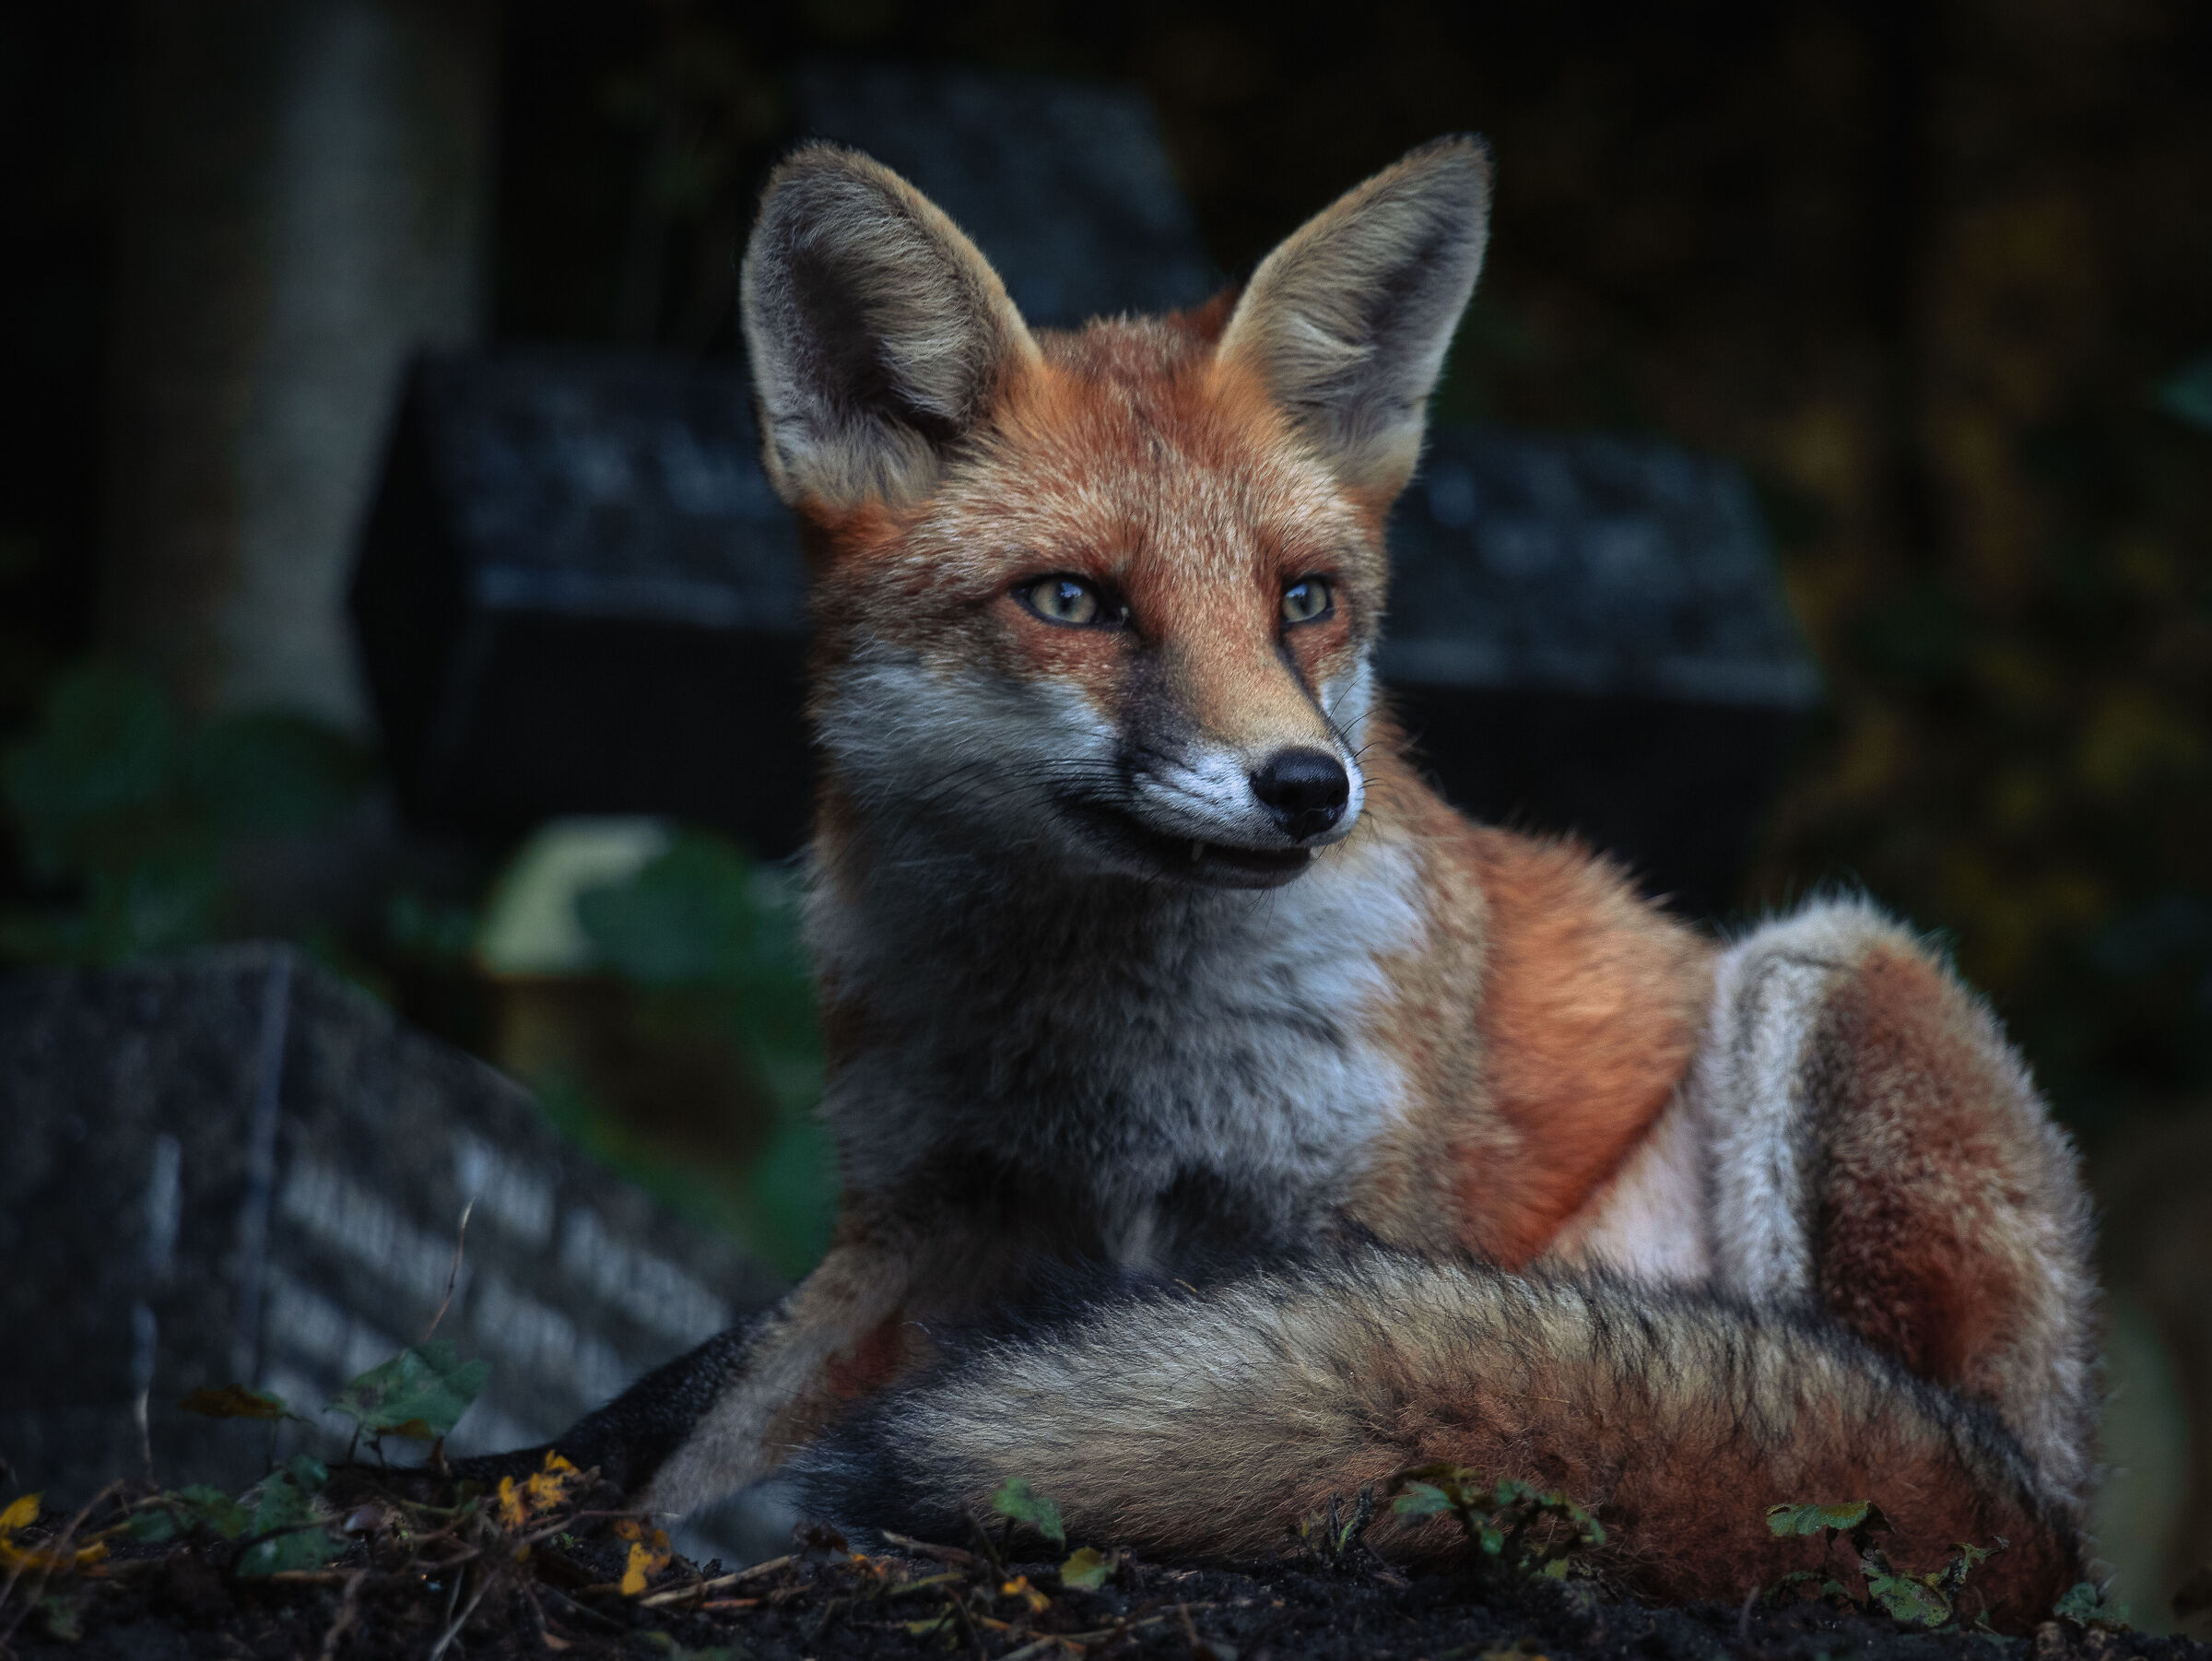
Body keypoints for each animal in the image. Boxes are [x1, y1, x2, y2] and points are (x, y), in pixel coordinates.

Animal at [495, 135, 2100, 1623]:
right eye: (1073, 601)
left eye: (1303, 600)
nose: (1309, 787)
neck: (1110, 1058)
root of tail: (2064, 1511)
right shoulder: (926, 1216)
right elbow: (691, 1428)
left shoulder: (1348, 1232)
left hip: (1836, 975)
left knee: (1875, 1460)